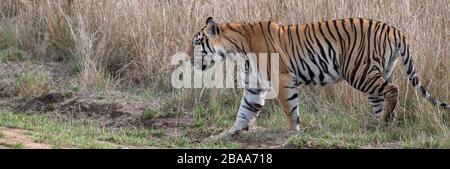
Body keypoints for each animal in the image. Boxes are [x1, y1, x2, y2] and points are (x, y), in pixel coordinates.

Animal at [186, 16, 450, 136]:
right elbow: (243, 111)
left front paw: (292, 133)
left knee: (393, 89)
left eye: (197, 43)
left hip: (359, 72)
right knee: (383, 98)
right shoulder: (255, 85)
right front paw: (227, 133)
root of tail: (394, 29)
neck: (237, 49)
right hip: (377, 73)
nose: (187, 57)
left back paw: (384, 121)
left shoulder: (283, 80)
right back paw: (382, 124)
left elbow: (290, 109)